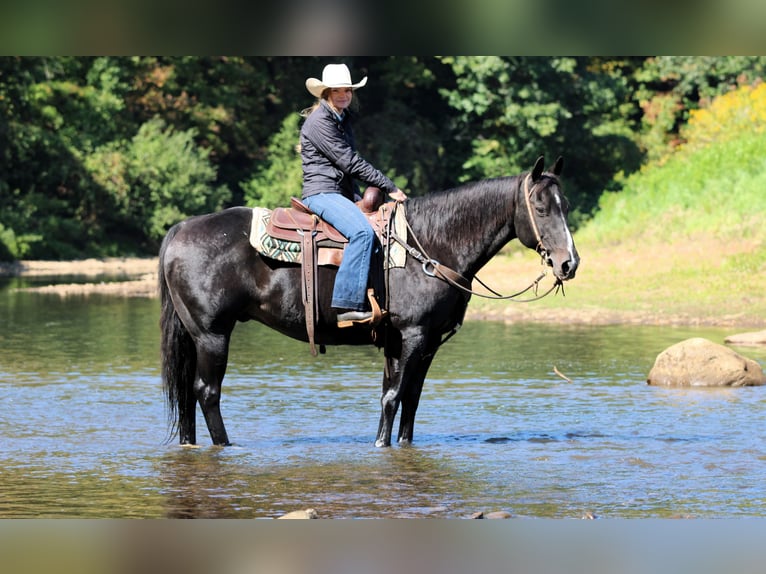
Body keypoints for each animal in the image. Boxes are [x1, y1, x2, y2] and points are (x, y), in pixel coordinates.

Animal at [159, 156, 580, 447]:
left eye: (567, 205)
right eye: (541, 208)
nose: (569, 263)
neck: (431, 246)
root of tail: (182, 228)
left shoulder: (420, 343)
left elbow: (409, 399)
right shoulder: (412, 335)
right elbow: (393, 397)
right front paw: (380, 446)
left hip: (197, 337)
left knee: (188, 395)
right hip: (213, 335)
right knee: (207, 392)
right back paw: (225, 445)